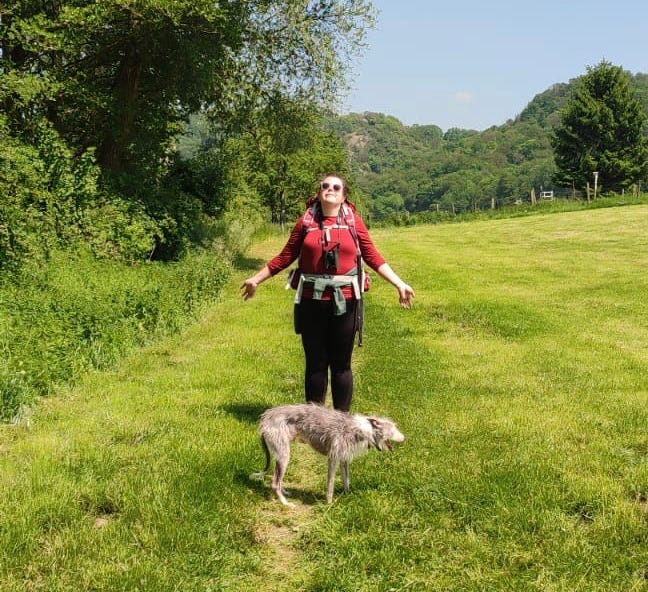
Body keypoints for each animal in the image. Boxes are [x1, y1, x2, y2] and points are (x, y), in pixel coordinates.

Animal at [253, 404, 404, 506]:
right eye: (393, 430)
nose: (404, 438)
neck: (364, 430)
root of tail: (266, 418)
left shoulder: (344, 460)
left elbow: (346, 481)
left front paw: (347, 496)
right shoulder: (333, 459)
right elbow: (330, 485)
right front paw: (329, 504)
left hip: (281, 454)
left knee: (278, 480)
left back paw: (285, 492)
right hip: (284, 455)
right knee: (274, 483)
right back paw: (285, 503)